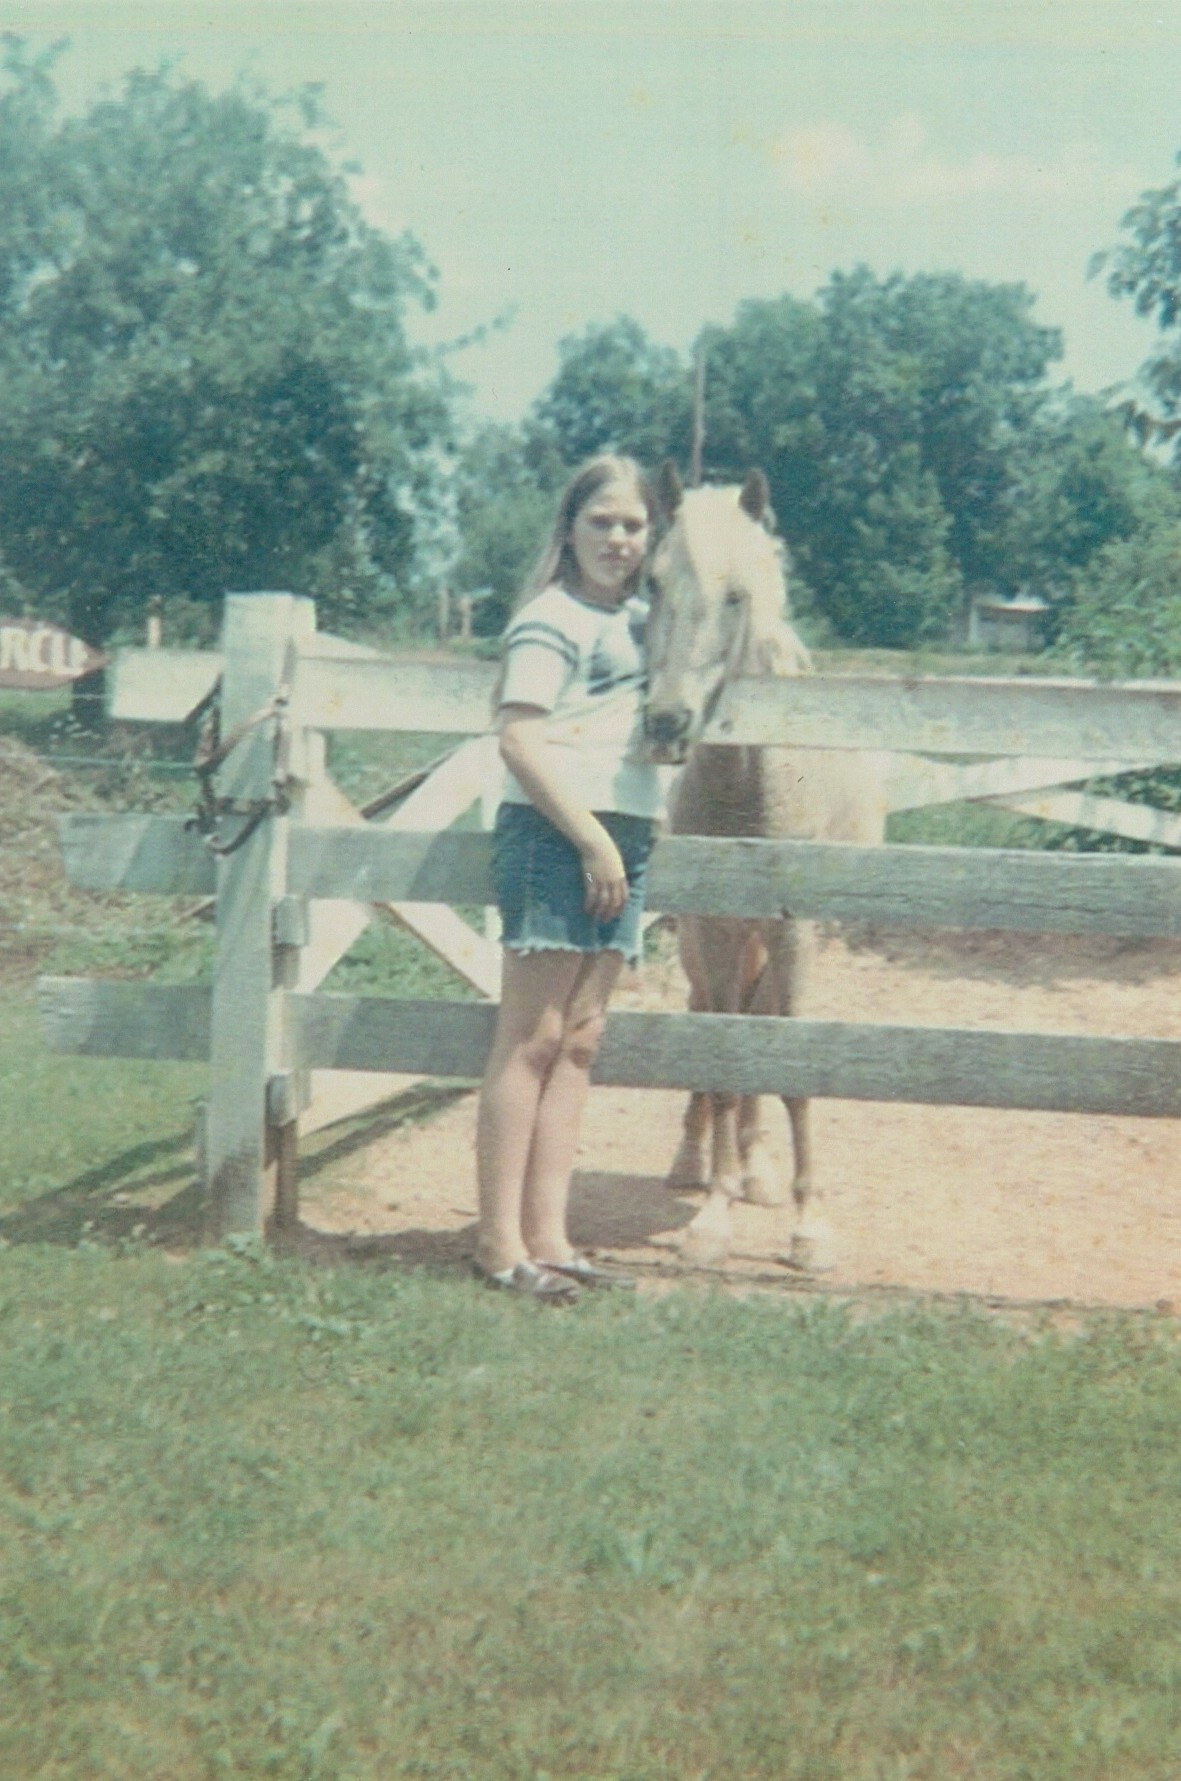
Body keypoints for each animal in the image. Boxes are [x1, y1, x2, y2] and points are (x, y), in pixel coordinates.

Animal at [641, 459, 883, 1268]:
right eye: (653, 583)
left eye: (736, 595)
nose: (665, 722)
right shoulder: (712, 929)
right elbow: (720, 1060)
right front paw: (711, 1218)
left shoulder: (795, 933)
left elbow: (788, 1064)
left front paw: (807, 1227)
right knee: (710, 1019)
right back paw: (698, 1162)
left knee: (761, 1021)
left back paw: (758, 1169)